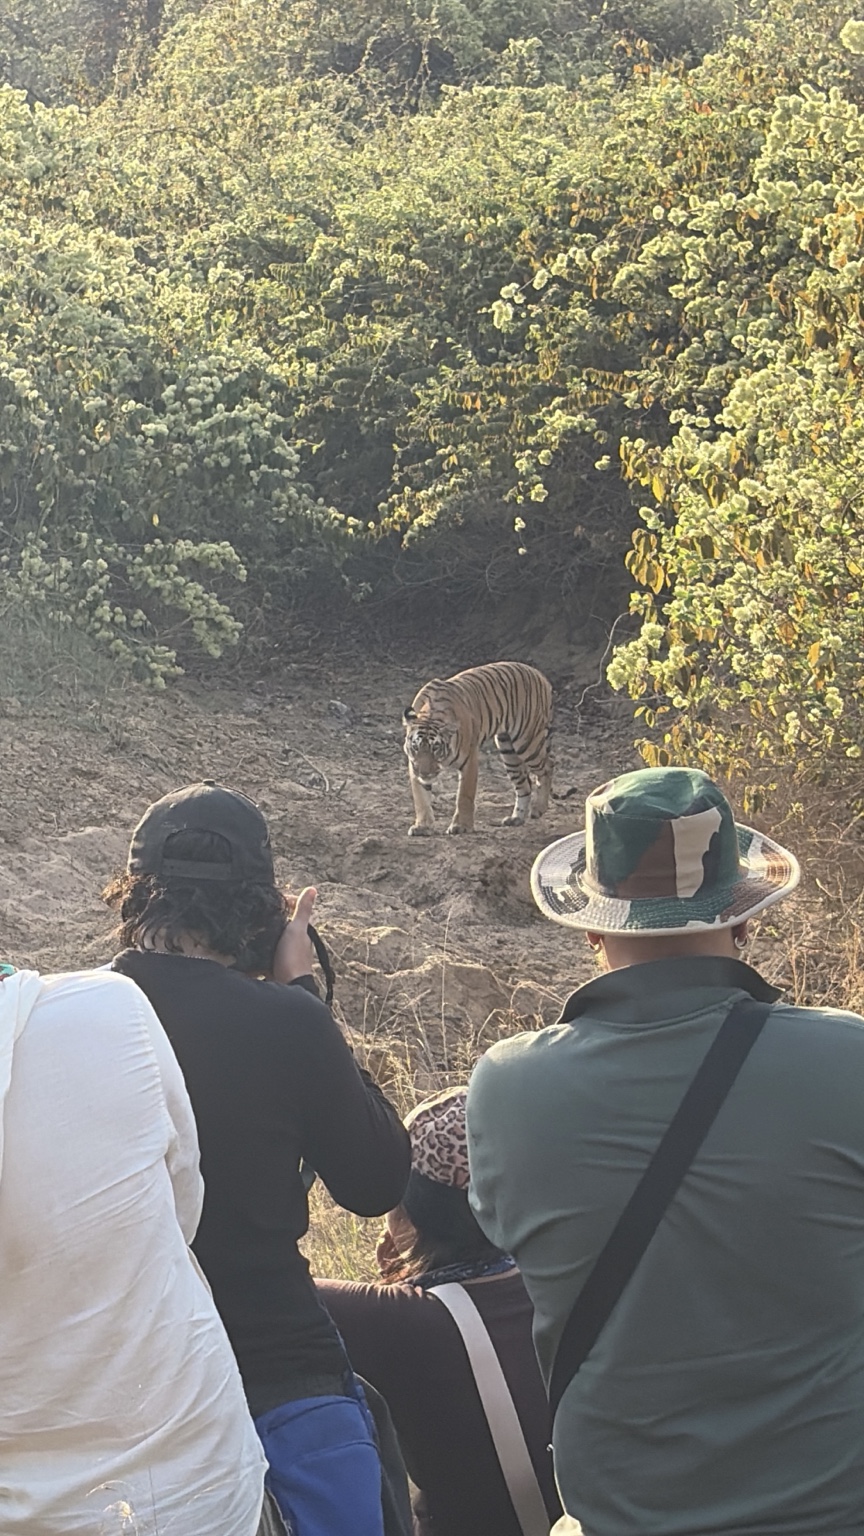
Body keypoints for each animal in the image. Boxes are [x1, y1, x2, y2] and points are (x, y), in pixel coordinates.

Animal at [402, 661, 553, 837]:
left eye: (436, 748)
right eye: (416, 747)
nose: (425, 773)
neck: (430, 716)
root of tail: (539, 674)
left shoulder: (469, 759)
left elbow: (464, 795)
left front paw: (461, 826)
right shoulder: (413, 764)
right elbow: (421, 797)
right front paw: (422, 826)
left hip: (527, 742)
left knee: (548, 766)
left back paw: (539, 809)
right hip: (507, 749)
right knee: (524, 783)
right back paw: (516, 818)